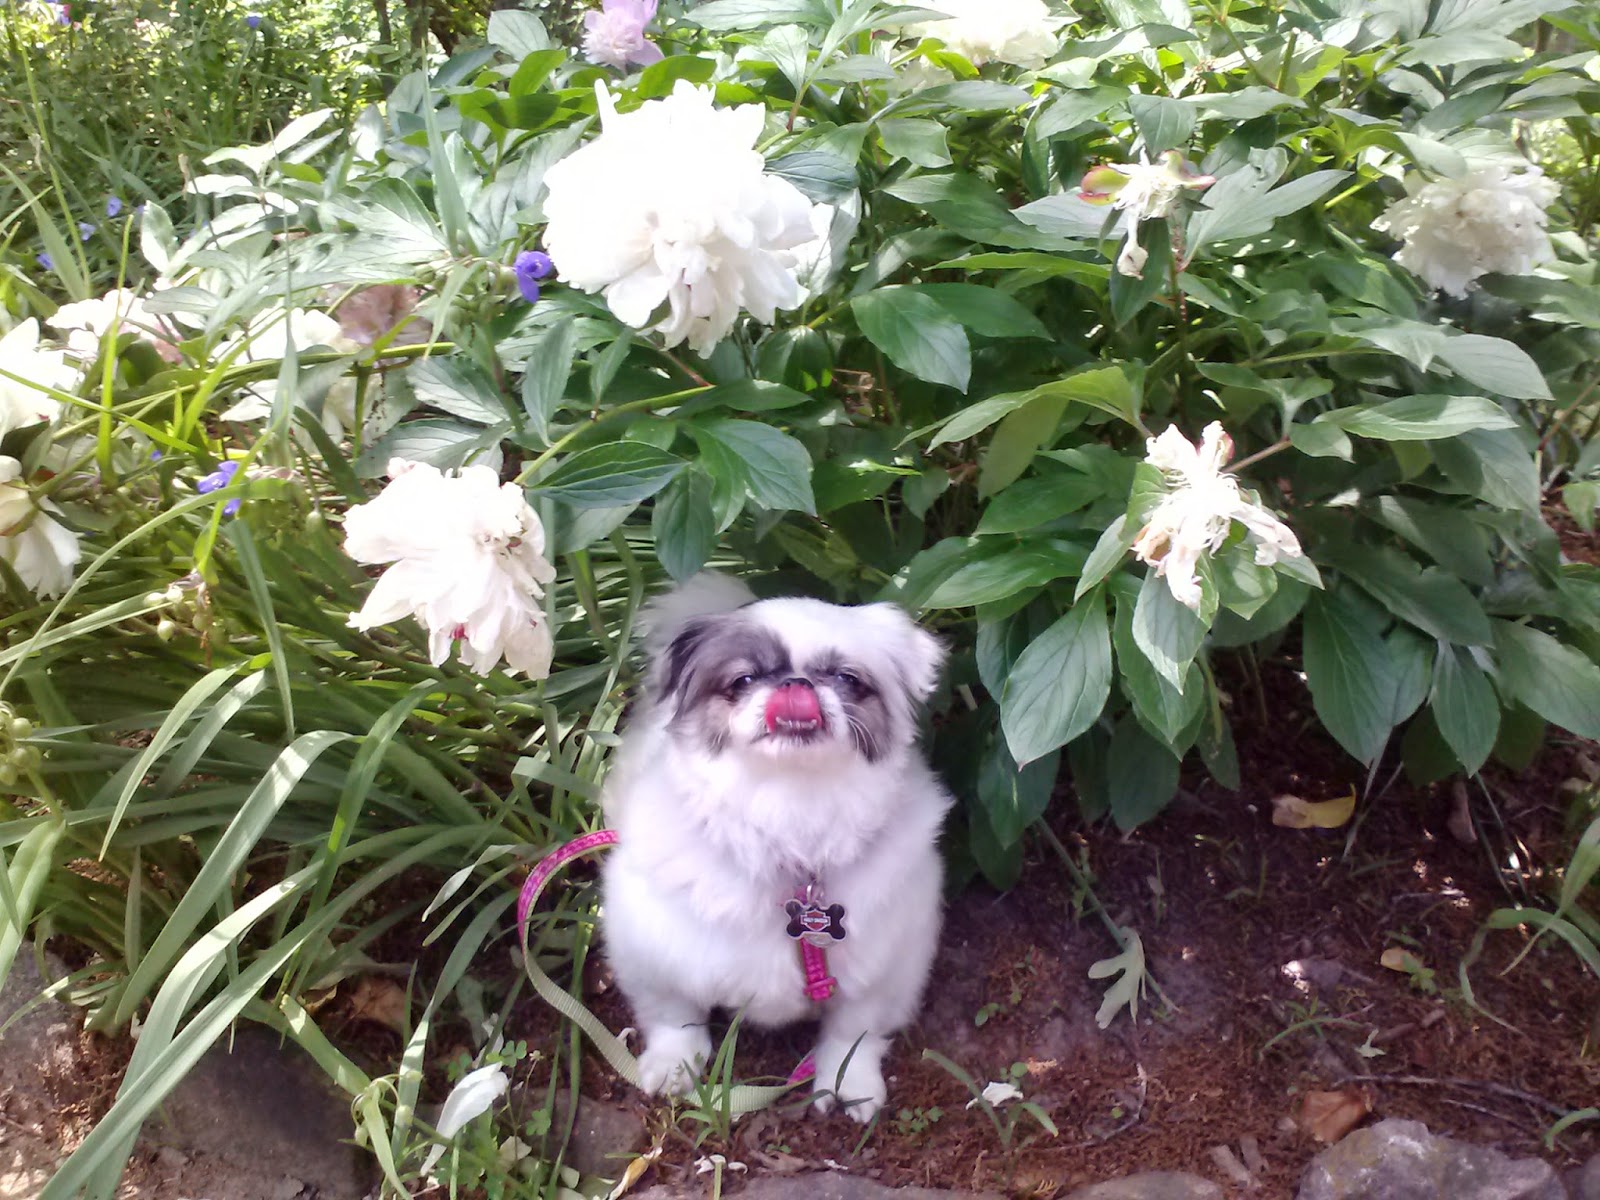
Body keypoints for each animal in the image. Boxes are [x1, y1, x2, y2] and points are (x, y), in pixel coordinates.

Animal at [599, 573, 952, 1120]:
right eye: (743, 681)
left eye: (847, 679)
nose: (795, 685)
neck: (791, 812)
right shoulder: (649, 942)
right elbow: (674, 1013)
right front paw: (675, 1064)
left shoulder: (887, 959)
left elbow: (853, 1032)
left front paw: (849, 1082)